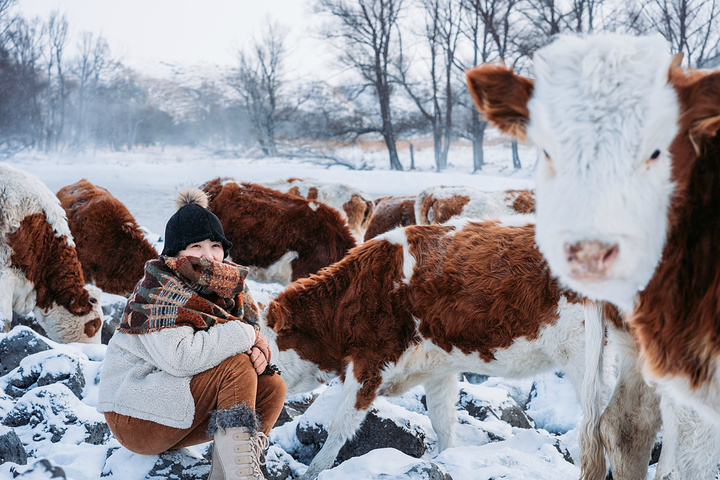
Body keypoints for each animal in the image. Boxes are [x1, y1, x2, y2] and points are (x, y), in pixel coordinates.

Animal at [266, 217, 668, 480]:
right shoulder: (437, 368)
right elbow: (443, 421)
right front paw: (446, 460)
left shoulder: (369, 363)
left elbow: (339, 427)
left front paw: (314, 471)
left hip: (585, 358)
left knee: (607, 425)